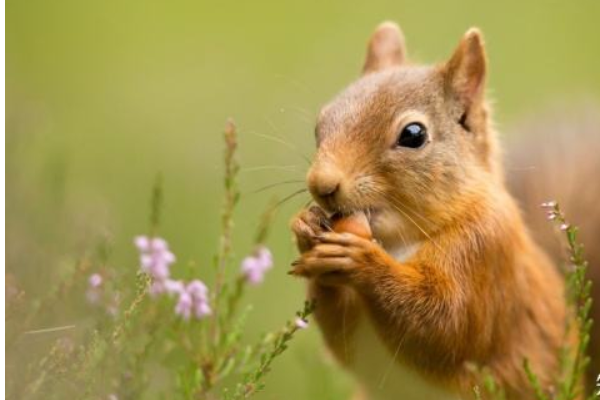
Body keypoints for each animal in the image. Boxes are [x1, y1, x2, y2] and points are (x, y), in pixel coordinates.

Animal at [292, 22, 596, 400]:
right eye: (319, 124)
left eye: (413, 135)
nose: (322, 184)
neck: (398, 241)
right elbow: (344, 341)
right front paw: (306, 229)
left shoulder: (485, 251)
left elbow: (446, 325)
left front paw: (361, 260)